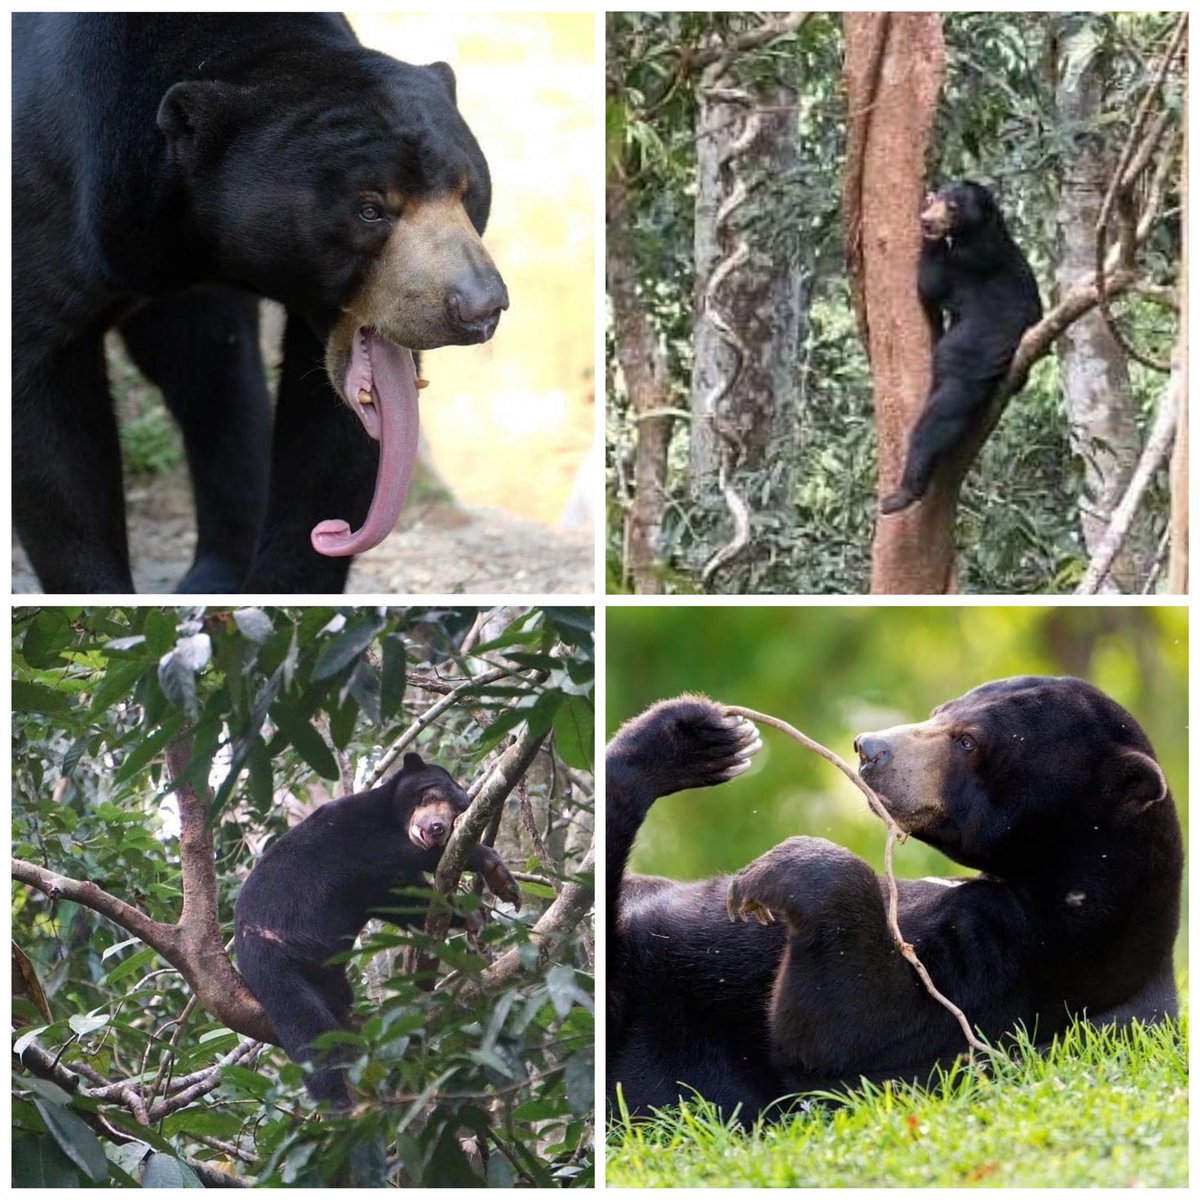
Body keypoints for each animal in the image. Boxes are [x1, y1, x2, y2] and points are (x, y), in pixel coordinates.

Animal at [12, 13, 508, 594]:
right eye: (370, 210)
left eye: (467, 191)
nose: (479, 308)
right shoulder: (53, 200)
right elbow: (49, 415)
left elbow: (327, 437)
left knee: (213, 375)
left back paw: (215, 575)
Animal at [234, 752, 521, 1108]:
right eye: (429, 796)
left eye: (457, 814)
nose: (437, 828)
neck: (389, 816)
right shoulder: (353, 836)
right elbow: (396, 856)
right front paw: (491, 865)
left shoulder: (374, 886)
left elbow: (404, 901)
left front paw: (477, 913)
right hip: (279, 961)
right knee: (312, 1034)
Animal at [607, 678, 1181, 1120]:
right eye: (941, 711)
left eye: (968, 741)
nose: (868, 748)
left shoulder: (1024, 964)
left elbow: (846, 1030)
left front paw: (775, 873)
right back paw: (684, 741)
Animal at [880, 181, 1042, 515]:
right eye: (938, 200)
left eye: (952, 206)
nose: (927, 220)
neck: (981, 229)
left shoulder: (970, 262)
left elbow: (930, 283)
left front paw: (930, 241)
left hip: (966, 375)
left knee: (933, 425)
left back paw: (901, 495)